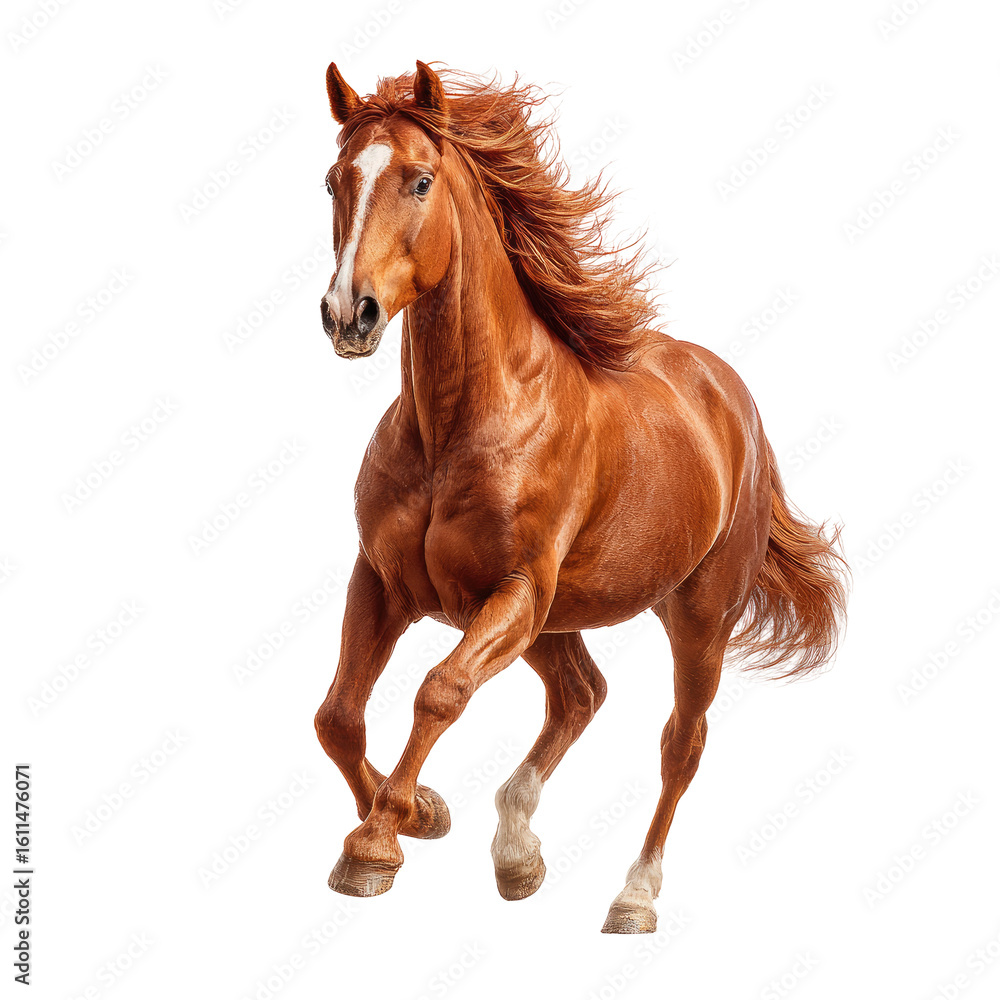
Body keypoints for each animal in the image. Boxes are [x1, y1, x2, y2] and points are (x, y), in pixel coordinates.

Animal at [314, 60, 848, 934]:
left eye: (420, 180)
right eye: (334, 182)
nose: (346, 314)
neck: (458, 426)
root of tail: (730, 399)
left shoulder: (514, 592)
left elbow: (438, 692)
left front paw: (376, 845)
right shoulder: (388, 583)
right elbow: (337, 716)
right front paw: (423, 813)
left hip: (695, 615)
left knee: (680, 743)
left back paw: (633, 897)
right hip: (556, 617)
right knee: (580, 694)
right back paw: (516, 853)